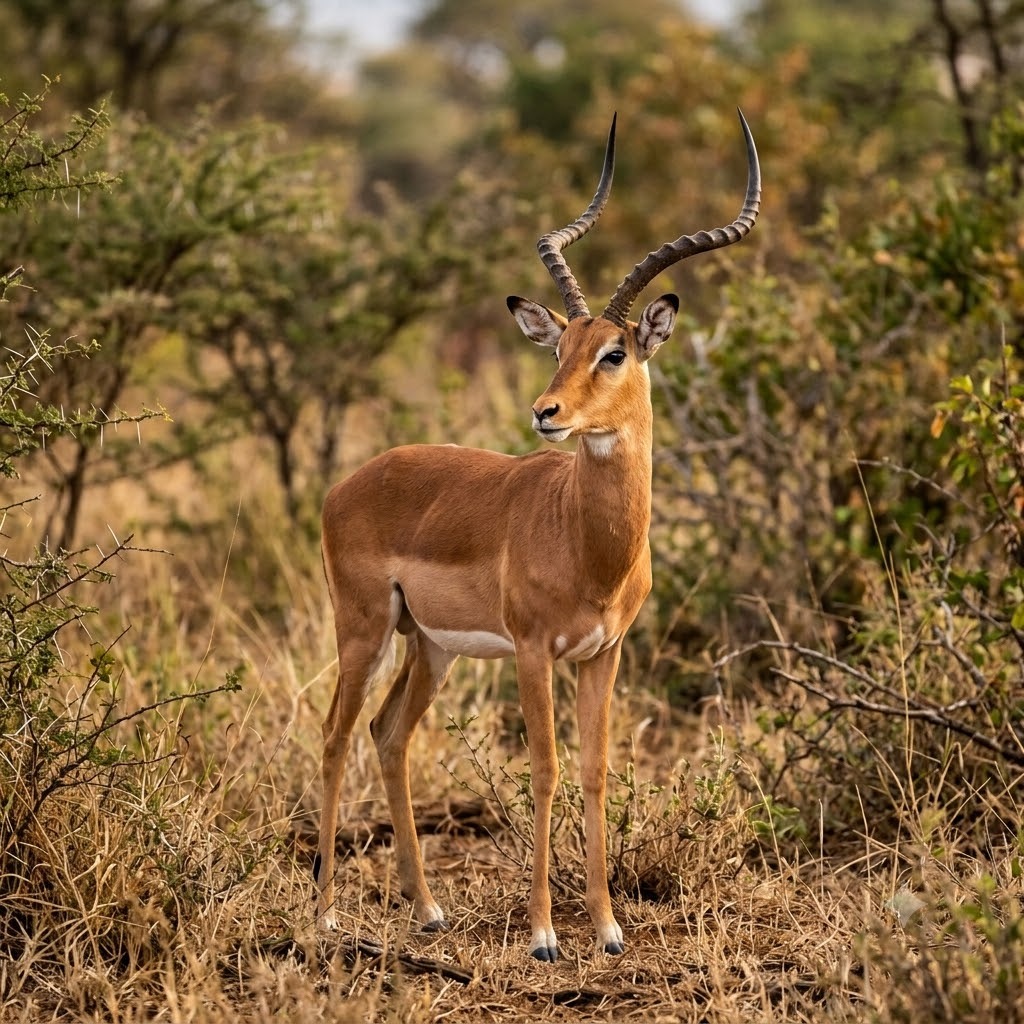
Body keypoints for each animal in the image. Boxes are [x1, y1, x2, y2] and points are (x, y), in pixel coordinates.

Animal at [315, 110, 760, 961]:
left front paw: (610, 927)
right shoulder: (531, 652)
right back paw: (322, 914)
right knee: (334, 735)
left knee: (388, 736)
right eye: (558, 348)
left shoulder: (602, 654)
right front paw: (546, 934)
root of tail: (346, 484)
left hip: (432, 647)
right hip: (364, 629)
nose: (545, 412)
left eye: (613, 352)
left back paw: (428, 909)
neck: (592, 547)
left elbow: (594, 770)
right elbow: (547, 770)